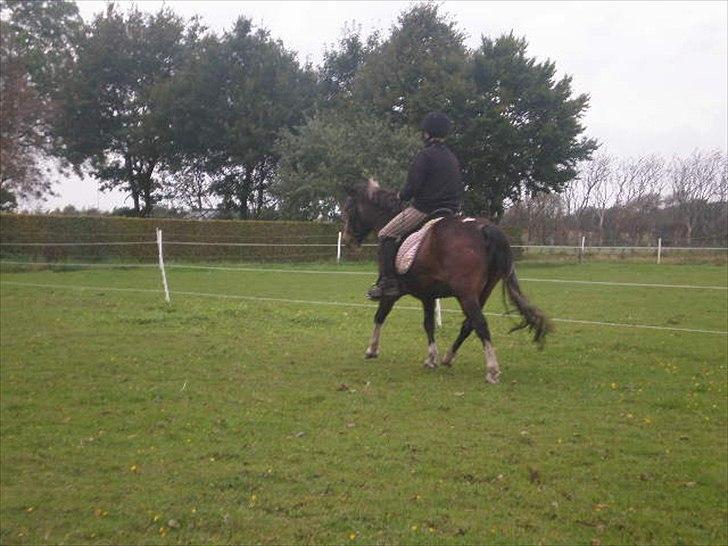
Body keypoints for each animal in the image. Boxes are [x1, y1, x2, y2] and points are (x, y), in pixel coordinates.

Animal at [341, 179, 552, 384]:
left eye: (348, 209)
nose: (347, 241)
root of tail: (485, 229)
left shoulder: (393, 292)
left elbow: (380, 315)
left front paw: (372, 350)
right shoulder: (427, 295)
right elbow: (428, 323)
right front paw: (431, 358)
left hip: (466, 294)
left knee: (480, 324)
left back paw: (492, 371)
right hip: (483, 291)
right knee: (469, 324)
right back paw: (449, 357)